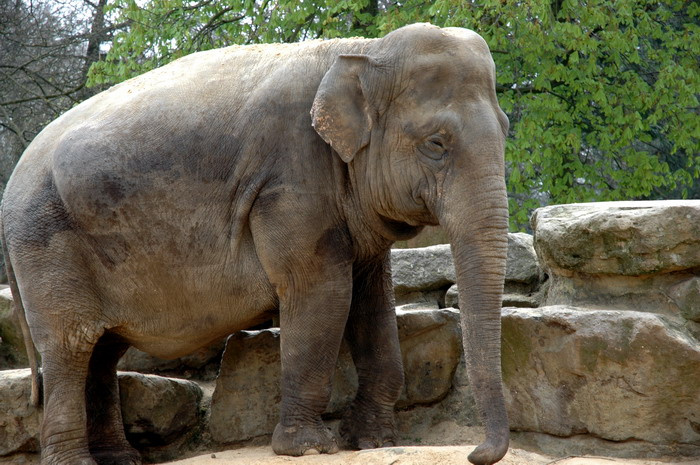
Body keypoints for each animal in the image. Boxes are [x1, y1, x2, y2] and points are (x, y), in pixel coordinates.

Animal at [1, 23, 510, 465]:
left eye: (506, 129)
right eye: (436, 144)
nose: (475, 453)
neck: (363, 51)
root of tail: (10, 185)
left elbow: (372, 302)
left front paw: (371, 442)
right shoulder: (290, 183)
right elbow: (323, 294)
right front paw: (308, 448)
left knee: (101, 350)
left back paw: (119, 460)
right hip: (46, 244)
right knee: (71, 346)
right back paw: (77, 462)